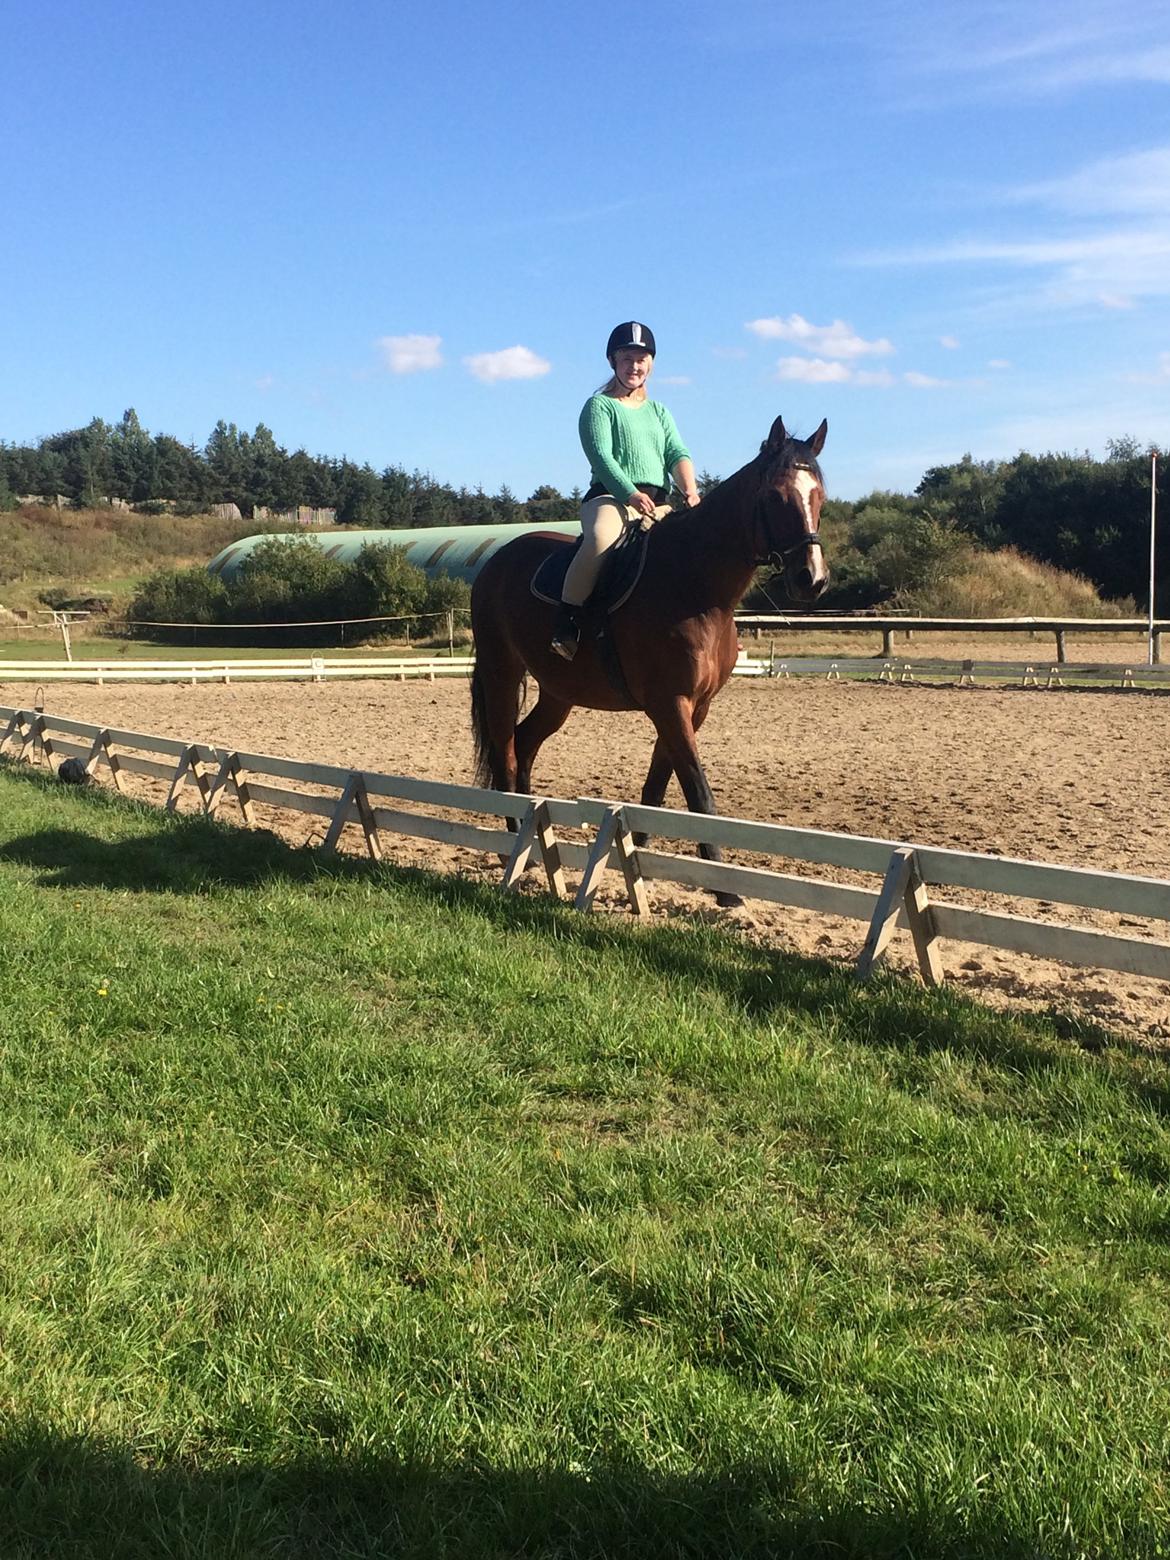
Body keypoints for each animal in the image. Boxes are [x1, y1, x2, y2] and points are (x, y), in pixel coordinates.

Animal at [469, 415, 829, 891]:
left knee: (525, 744)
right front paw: (725, 891)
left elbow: (657, 789)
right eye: (775, 496)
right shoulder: (669, 702)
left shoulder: (694, 706)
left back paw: (531, 838)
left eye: (820, 496)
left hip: (559, 692)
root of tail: (495, 560)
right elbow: (698, 791)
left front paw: (636, 859)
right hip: (502, 672)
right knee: (506, 752)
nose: (812, 579)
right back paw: (515, 844)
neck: (695, 585)